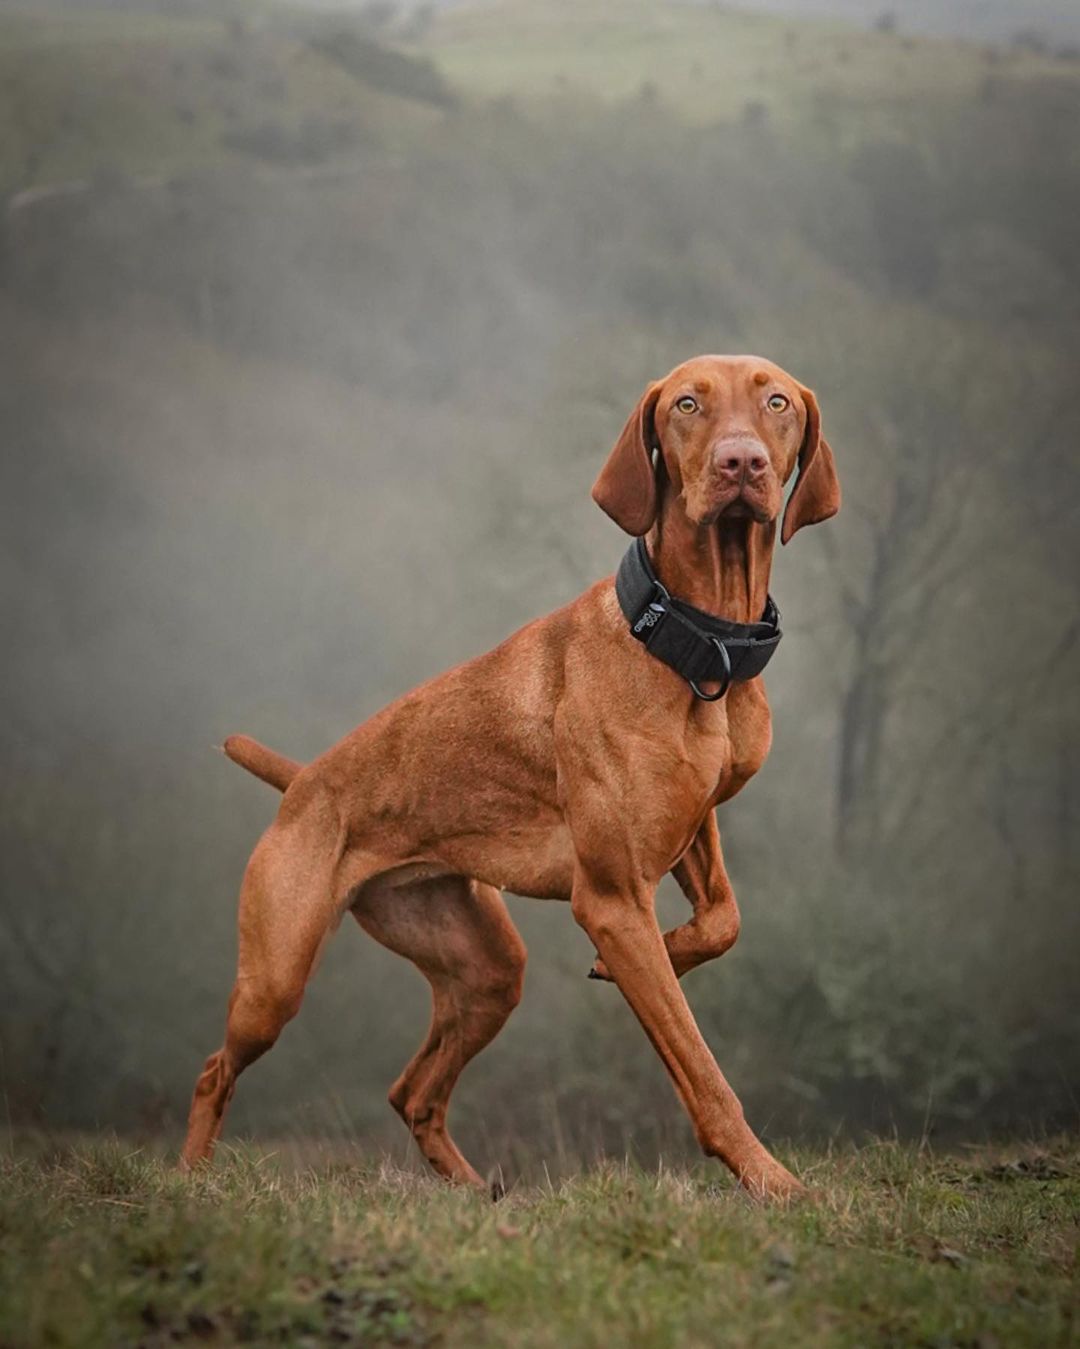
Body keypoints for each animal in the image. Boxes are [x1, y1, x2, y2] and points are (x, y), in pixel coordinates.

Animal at [183, 353, 841, 1197]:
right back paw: (187, 1180)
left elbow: (724, 919)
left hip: (488, 969)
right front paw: (769, 1179)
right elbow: (700, 1066)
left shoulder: (693, 822)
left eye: (777, 401)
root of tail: (303, 781)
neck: (695, 644)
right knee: (215, 1069)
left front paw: (662, 952)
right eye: (688, 404)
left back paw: (470, 1190)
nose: (742, 463)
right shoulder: (612, 899)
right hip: (275, 978)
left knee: (412, 1091)